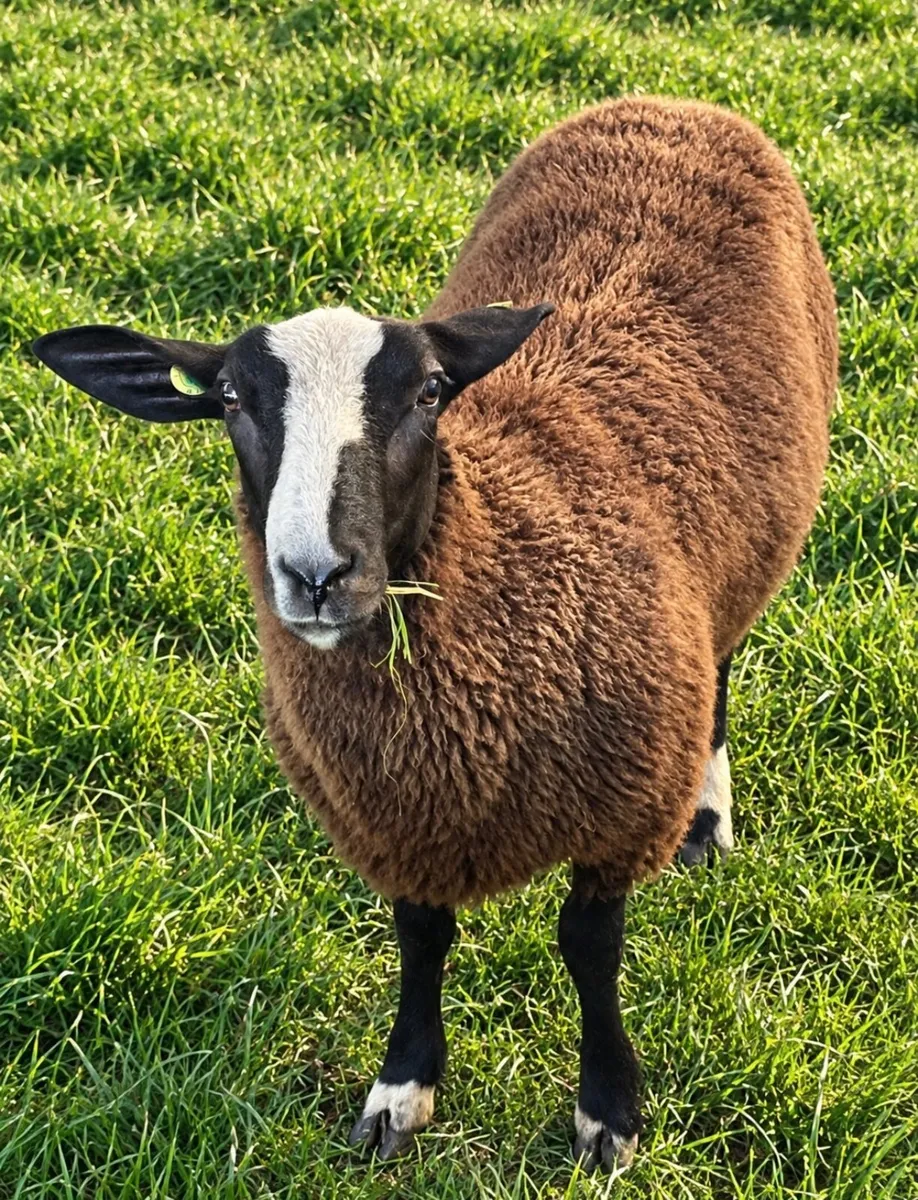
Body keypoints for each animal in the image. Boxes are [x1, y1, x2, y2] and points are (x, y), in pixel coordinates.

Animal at [33, 95, 837, 1172]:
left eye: (426, 395)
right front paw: (402, 1089)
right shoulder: (394, 814)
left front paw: (608, 1113)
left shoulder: (623, 806)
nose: (317, 575)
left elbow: (589, 950)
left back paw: (707, 820)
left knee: (725, 662)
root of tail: (669, 103)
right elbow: (421, 939)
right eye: (232, 402)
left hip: (751, 554)